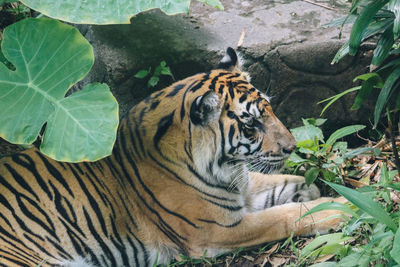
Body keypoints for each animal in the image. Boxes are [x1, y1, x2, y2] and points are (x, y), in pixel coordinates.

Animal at [0, 47, 344, 266]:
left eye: (270, 110)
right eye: (251, 125)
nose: (291, 147)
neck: (223, 168)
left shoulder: (240, 189)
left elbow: (280, 184)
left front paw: (313, 189)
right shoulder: (219, 229)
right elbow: (284, 217)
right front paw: (337, 209)